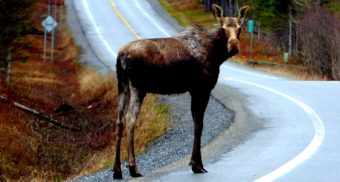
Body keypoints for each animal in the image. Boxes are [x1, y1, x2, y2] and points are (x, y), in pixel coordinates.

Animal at [113, 3, 248, 178]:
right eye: (223, 27)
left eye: (239, 27)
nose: (233, 46)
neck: (217, 55)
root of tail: (121, 56)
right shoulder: (202, 88)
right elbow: (199, 125)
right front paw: (197, 164)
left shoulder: (193, 90)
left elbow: (196, 122)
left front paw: (195, 163)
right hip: (138, 87)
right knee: (130, 119)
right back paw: (133, 167)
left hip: (122, 86)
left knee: (119, 121)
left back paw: (117, 170)